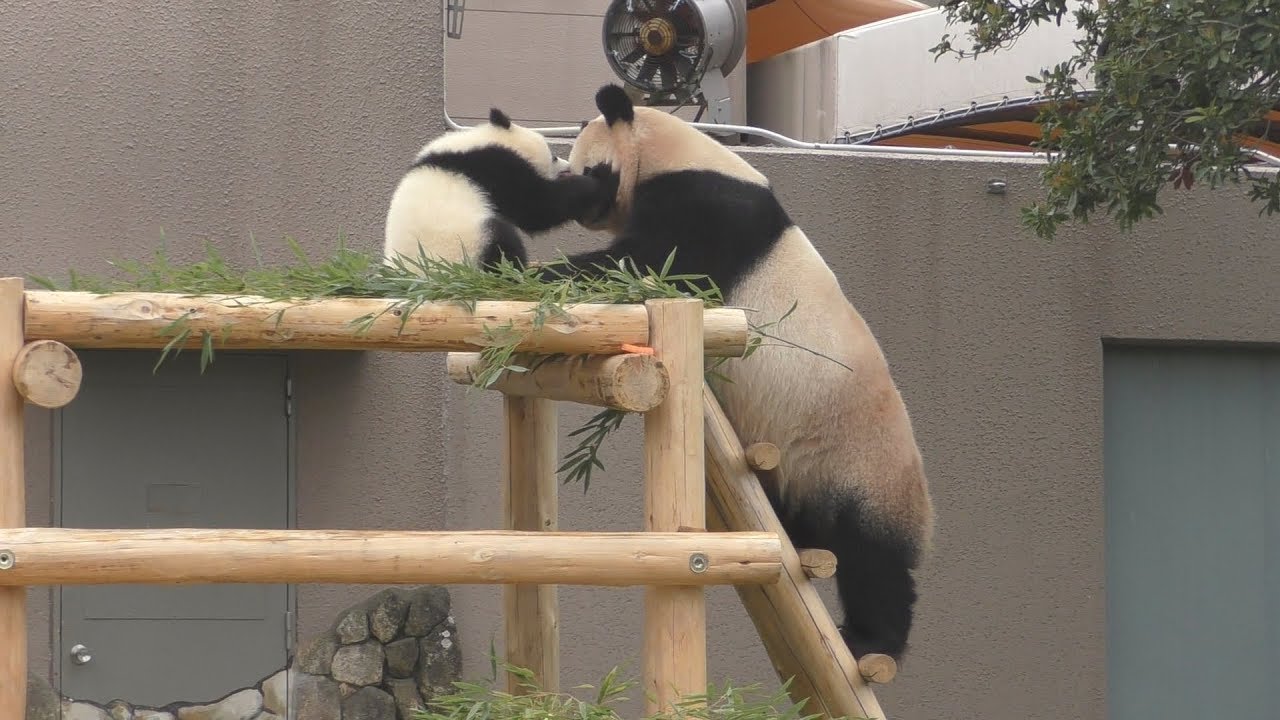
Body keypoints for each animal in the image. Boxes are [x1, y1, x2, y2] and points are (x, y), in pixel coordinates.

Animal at [383, 107, 611, 272]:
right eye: (553, 156)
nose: (567, 166)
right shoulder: (494, 168)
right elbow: (537, 208)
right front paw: (595, 179)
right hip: (464, 246)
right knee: (501, 241)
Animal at [540, 84, 935, 665]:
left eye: (590, 168)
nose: (581, 209)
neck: (680, 151)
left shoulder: (710, 210)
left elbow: (653, 265)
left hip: (860, 466)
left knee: (874, 561)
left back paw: (868, 641)